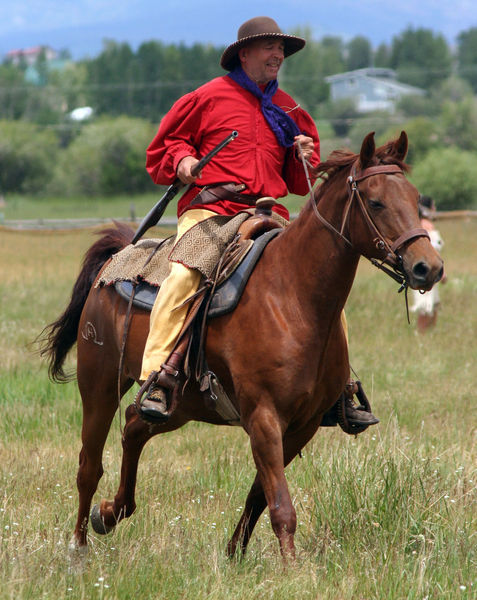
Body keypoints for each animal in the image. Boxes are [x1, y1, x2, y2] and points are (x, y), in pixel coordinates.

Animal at [41, 130, 442, 556]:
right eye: (376, 201)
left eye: (415, 198)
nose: (427, 267)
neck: (291, 295)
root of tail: (115, 258)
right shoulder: (264, 419)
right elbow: (281, 506)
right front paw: (290, 567)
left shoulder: (303, 425)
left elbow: (260, 495)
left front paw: (235, 553)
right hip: (100, 389)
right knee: (89, 465)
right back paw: (78, 546)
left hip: (179, 405)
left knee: (134, 426)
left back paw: (110, 513)